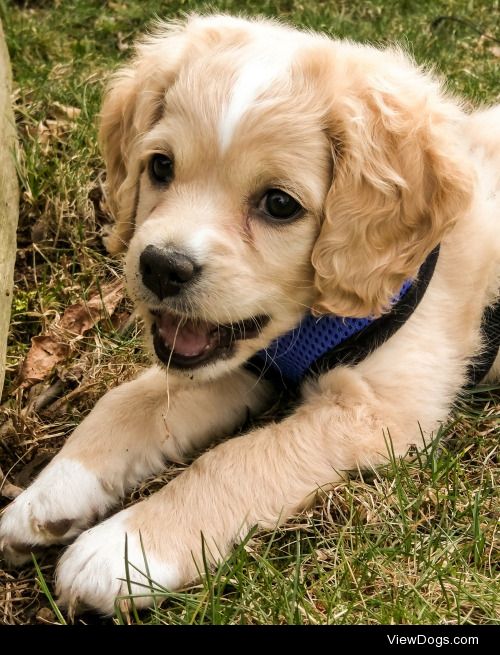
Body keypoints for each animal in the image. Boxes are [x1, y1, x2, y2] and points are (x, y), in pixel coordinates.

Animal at [0, 14, 500, 616]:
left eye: (279, 204)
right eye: (160, 166)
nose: (161, 267)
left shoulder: (378, 411)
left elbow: (238, 458)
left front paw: (124, 549)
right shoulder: (241, 364)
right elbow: (126, 404)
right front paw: (48, 496)